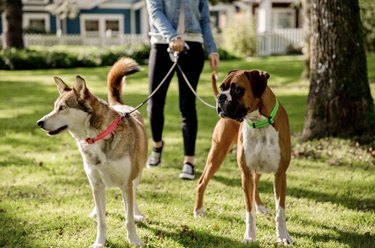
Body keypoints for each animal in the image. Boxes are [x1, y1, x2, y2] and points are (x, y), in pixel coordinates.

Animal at [195, 69, 296, 244]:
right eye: (222, 87)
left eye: (237, 90)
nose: (221, 96)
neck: (259, 121)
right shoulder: (246, 174)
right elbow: (249, 212)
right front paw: (250, 236)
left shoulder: (280, 174)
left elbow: (280, 211)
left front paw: (283, 236)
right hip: (217, 155)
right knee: (202, 182)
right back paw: (198, 210)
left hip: (257, 167)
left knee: (256, 185)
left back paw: (260, 207)